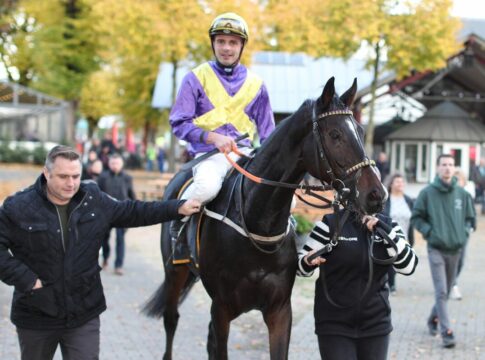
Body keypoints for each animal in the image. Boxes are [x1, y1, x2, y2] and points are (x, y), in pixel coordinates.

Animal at [143, 76, 386, 360]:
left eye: (361, 131)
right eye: (335, 134)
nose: (376, 194)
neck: (257, 221)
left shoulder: (279, 309)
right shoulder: (221, 308)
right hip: (174, 272)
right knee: (171, 319)